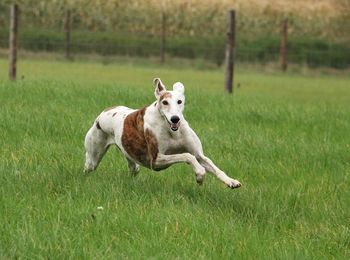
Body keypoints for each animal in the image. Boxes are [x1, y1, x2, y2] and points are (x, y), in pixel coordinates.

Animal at [83, 77, 242, 189]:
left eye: (179, 101)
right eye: (165, 102)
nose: (175, 118)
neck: (172, 131)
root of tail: (106, 111)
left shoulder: (199, 155)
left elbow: (211, 165)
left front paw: (231, 181)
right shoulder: (156, 160)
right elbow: (187, 156)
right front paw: (200, 175)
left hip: (132, 159)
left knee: (134, 168)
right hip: (94, 155)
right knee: (88, 165)